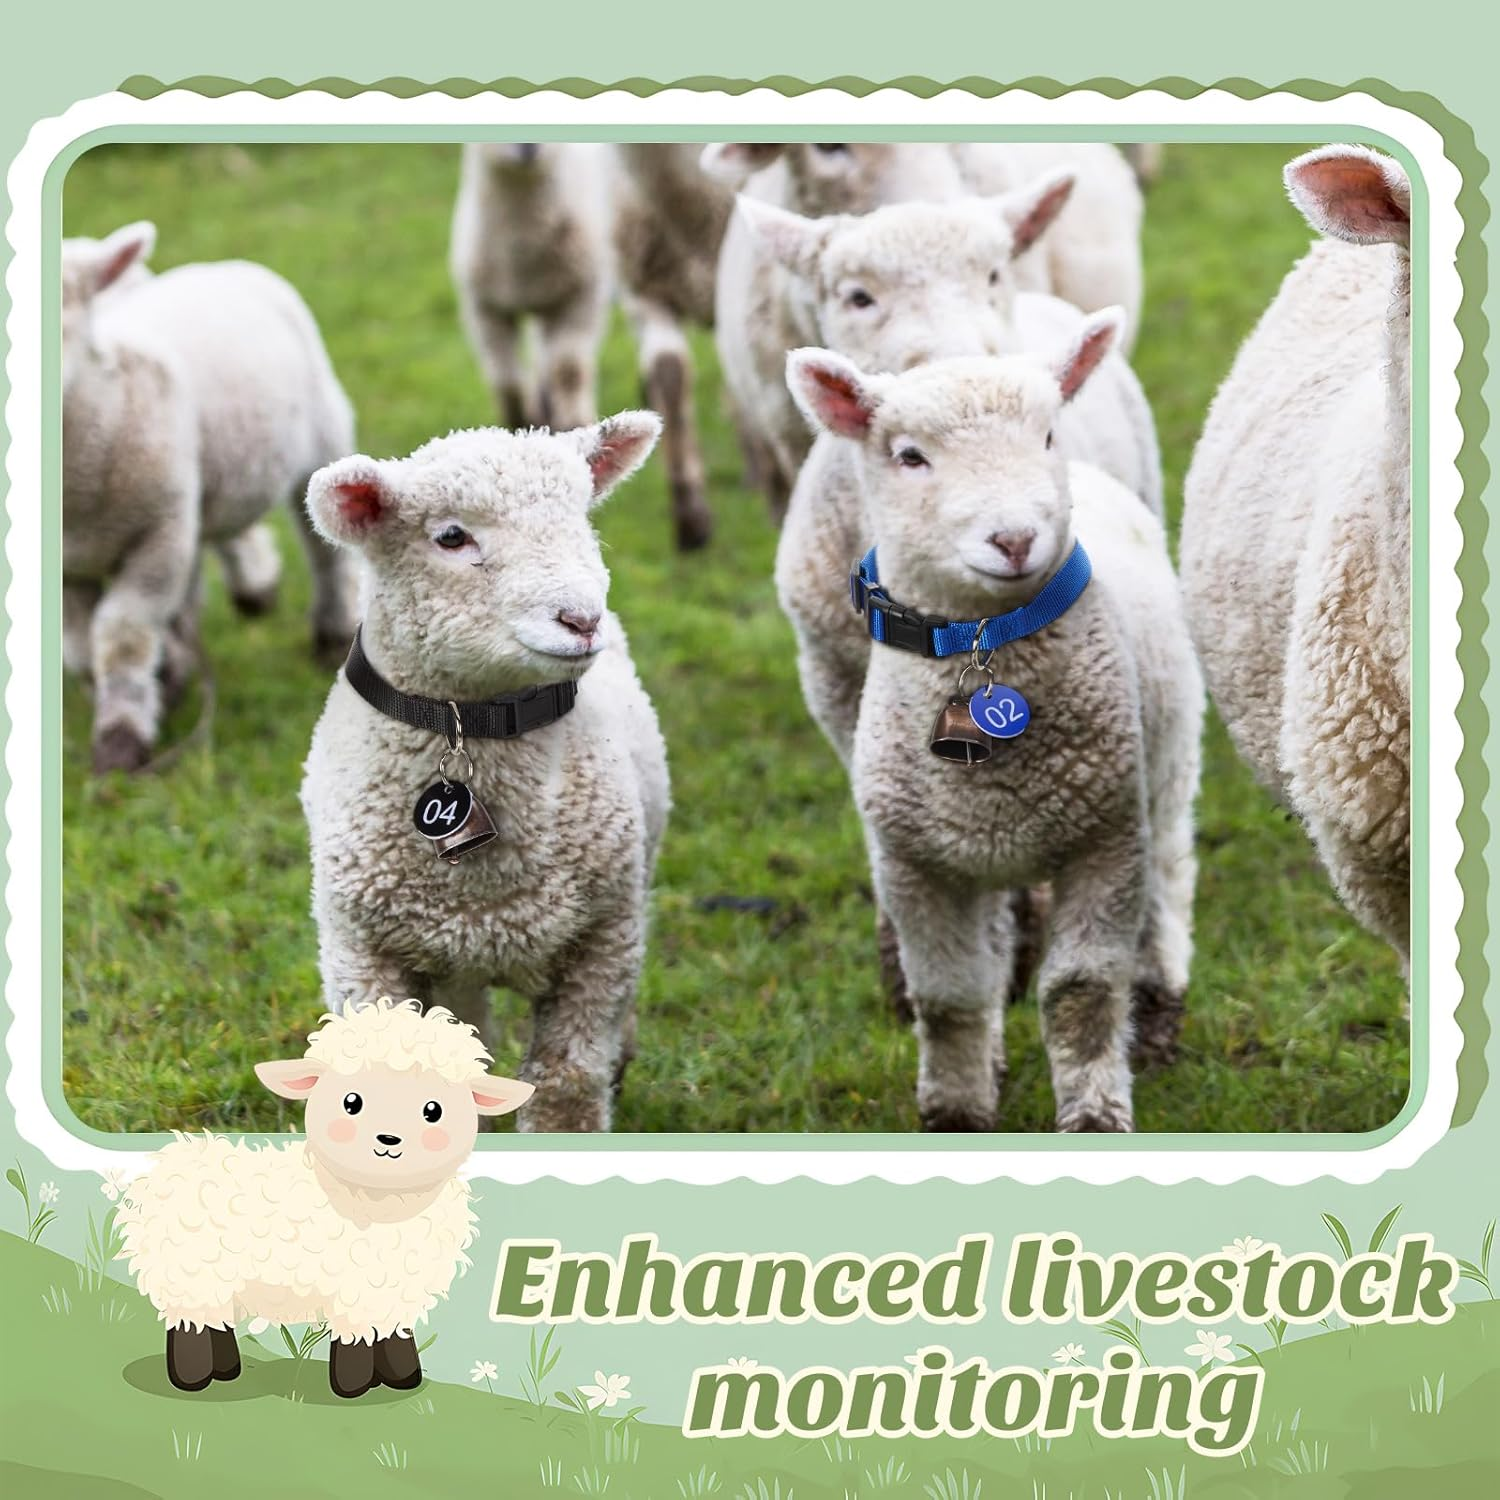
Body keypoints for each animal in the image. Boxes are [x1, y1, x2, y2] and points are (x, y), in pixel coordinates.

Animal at [63, 220, 360, 773]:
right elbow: (80, 647)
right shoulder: (71, 565)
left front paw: (121, 741)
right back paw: (247, 595)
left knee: (326, 557)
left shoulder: (160, 534)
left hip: (323, 436)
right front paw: (157, 685)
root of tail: (220, 266)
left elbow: (122, 633)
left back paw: (329, 637)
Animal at [116, 998, 533, 1399]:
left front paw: (403, 1379)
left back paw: (227, 1371)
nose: (388, 1139)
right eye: (351, 1103)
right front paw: (354, 1387)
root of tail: (174, 1161)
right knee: (191, 1325)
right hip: (189, 1275)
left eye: (433, 1110)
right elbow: (356, 1341)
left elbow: (394, 1336)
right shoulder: (353, 1286)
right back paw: (195, 1378)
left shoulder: (393, 1289)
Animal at [300, 413, 671, 1133]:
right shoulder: (361, 950)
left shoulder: (604, 941)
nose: (582, 619)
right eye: (451, 536)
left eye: (580, 516)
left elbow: (566, 1087)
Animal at [450, 143, 613, 433]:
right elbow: (506, 380)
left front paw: (573, 423)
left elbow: (568, 368)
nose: (528, 147)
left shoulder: (581, 296)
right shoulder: (485, 309)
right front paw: (520, 421)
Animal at [786, 315, 1204, 1131]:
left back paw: (1158, 1006)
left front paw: (1095, 1114)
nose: (1014, 539)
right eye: (909, 457)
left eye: (1047, 435)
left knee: (1172, 873)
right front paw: (958, 1108)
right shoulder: (916, 862)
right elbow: (949, 998)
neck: (983, 642)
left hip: (1168, 757)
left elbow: (1080, 991)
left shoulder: (1106, 843)